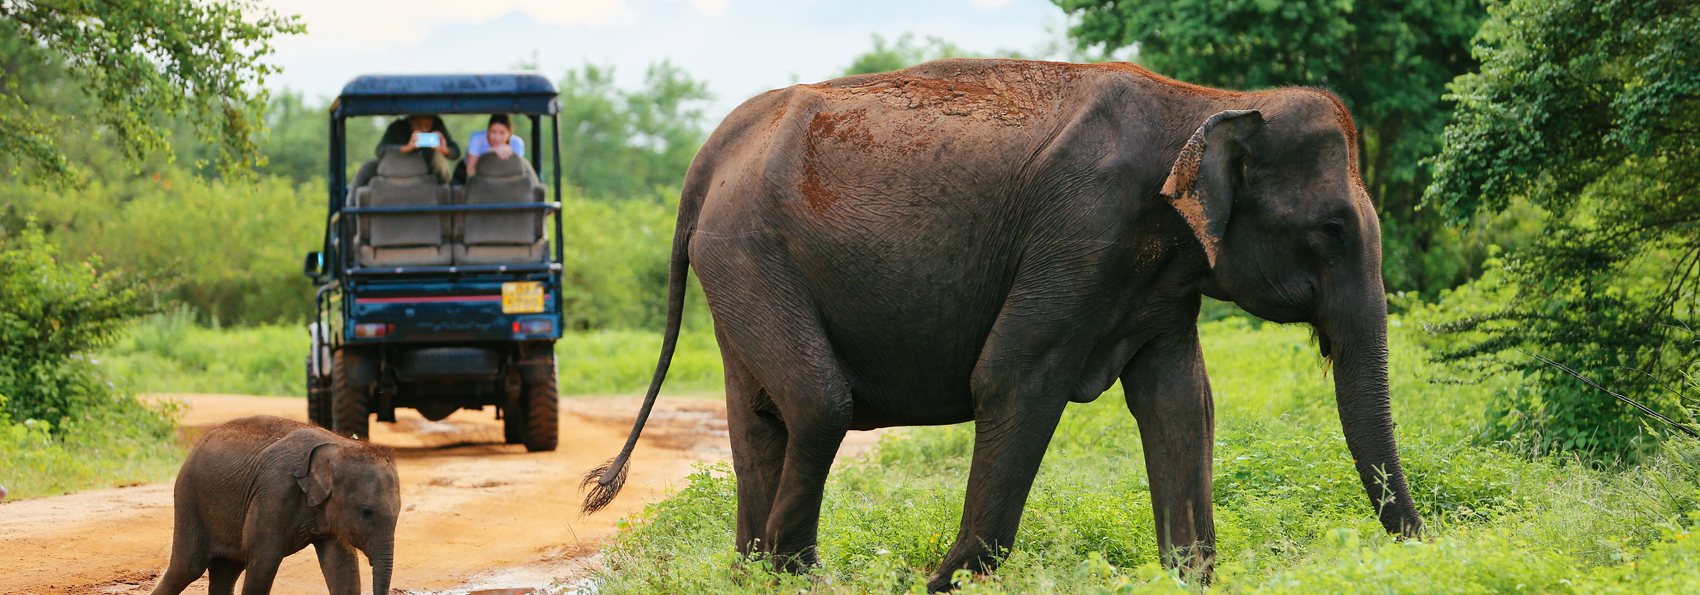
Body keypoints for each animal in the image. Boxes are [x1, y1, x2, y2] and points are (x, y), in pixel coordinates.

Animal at [150, 416, 401, 595]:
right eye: (366, 512)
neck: (341, 445)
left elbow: (341, 566)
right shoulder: (275, 491)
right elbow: (264, 559)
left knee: (227, 568)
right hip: (189, 496)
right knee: (187, 568)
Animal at [584, 59, 1421, 591]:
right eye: (1335, 230)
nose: (1425, 545)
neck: (1212, 100)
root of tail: (713, 147)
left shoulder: (1157, 271)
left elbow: (1181, 401)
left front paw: (1189, 576)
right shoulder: (1081, 232)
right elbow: (1014, 378)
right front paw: (942, 582)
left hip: (736, 265)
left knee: (761, 416)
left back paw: (752, 573)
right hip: (750, 255)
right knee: (818, 405)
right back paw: (786, 573)